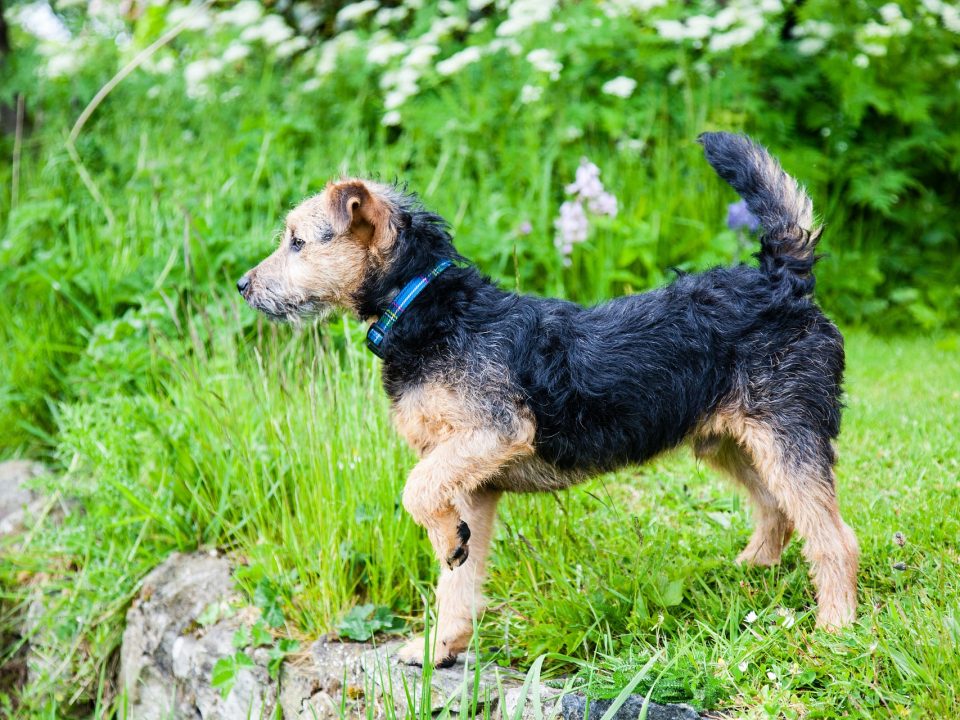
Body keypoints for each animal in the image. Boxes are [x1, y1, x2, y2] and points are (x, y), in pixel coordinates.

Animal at [240, 132, 864, 668]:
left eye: (297, 241)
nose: (244, 285)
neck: (426, 309)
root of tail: (785, 279)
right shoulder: (472, 485)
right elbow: (457, 580)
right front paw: (442, 644)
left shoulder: (492, 432)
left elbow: (417, 492)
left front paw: (442, 551)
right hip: (732, 443)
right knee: (779, 514)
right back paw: (745, 575)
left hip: (787, 439)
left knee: (835, 538)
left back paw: (836, 628)